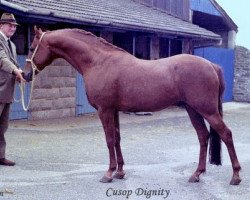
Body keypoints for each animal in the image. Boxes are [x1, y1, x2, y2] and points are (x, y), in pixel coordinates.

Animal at [24, 27, 240, 185]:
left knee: (226, 134)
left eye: (32, 47)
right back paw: (196, 174)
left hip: (207, 110)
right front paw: (120, 172)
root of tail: (212, 65)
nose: (25, 75)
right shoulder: (114, 110)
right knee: (203, 136)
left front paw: (109, 173)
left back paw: (236, 176)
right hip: (193, 109)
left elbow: (109, 140)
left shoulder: (104, 110)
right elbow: (117, 139)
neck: (99, 61)